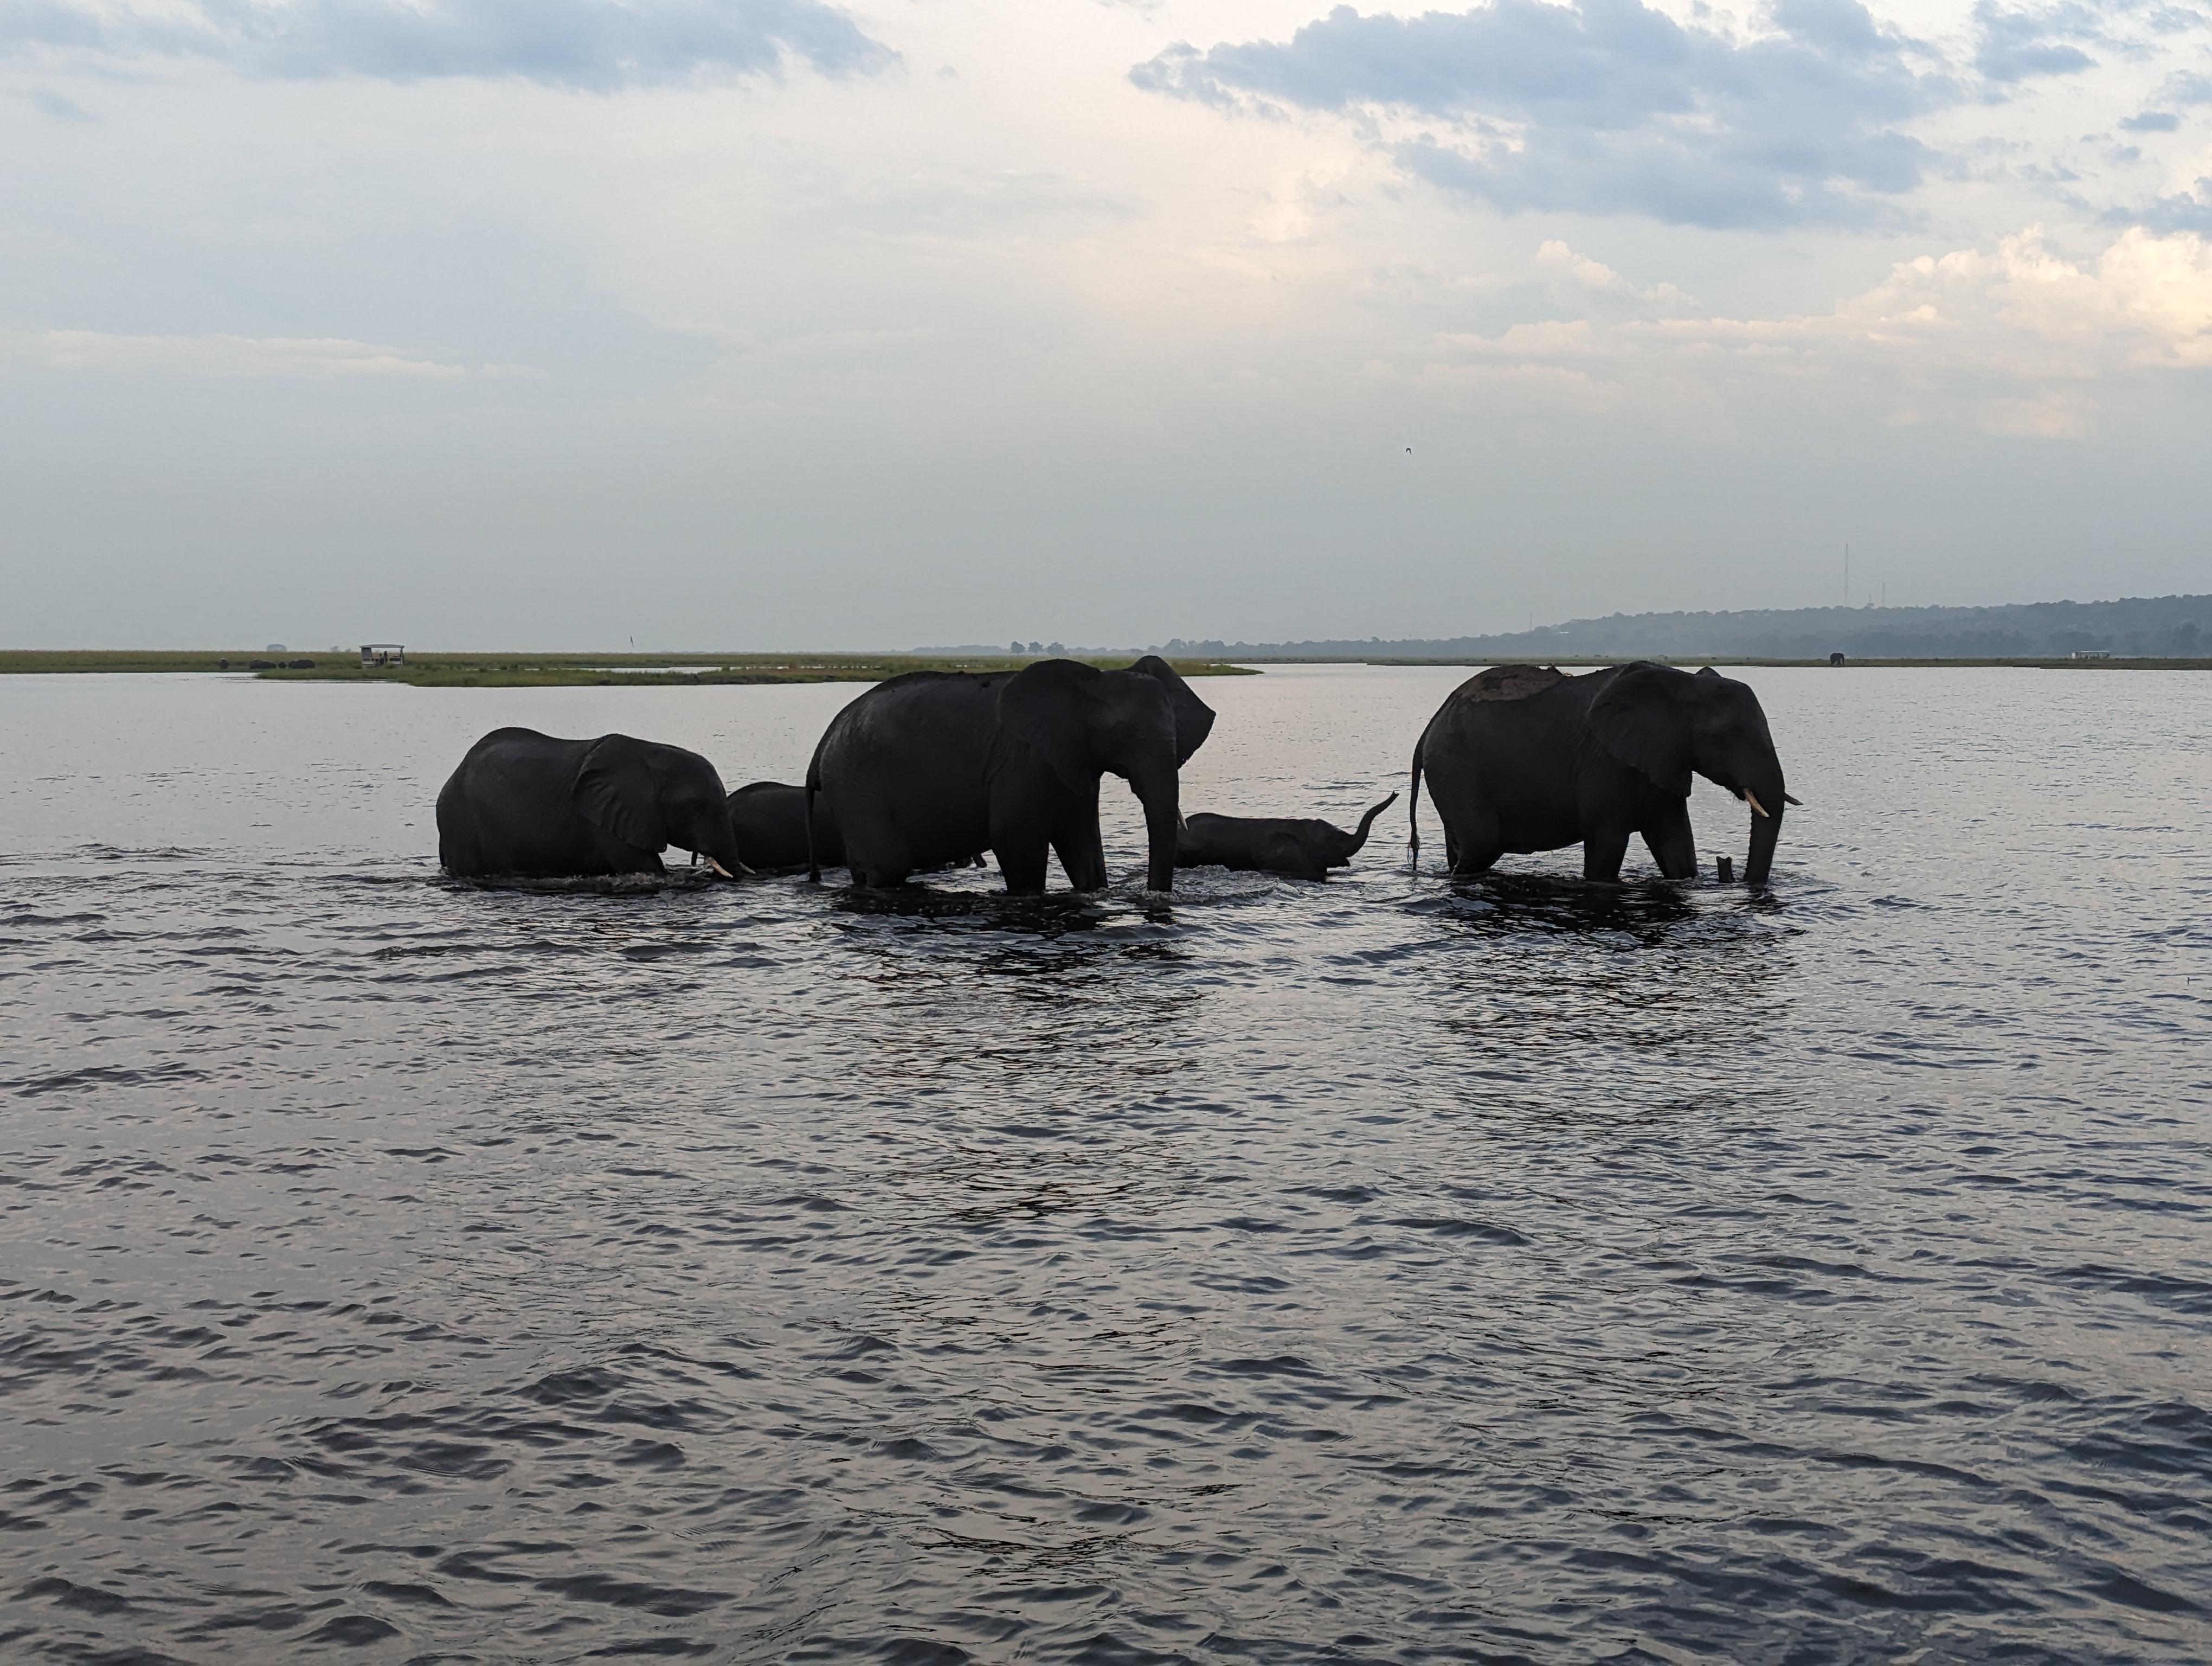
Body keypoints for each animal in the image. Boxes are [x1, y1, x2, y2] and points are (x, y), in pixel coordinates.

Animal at [809, 655, 1221, 889]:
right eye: (1126, 736)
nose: (1152, 898)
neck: (1091, 682)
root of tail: (825, 740)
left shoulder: (1076, 760)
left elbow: (1083, 845)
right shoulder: (1023, 759)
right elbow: (1015, 840)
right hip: (856, 786)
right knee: (887, 868)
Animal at [1416, 663, 1796, 885]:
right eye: (1724, 736)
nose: (1727, 865)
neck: (1682, 682)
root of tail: (1431, 725)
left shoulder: (1664, 761)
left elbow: (1675, 845)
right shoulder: (1605, 761)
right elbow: (1607, 848)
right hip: (1455, 766)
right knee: (1481, 845)